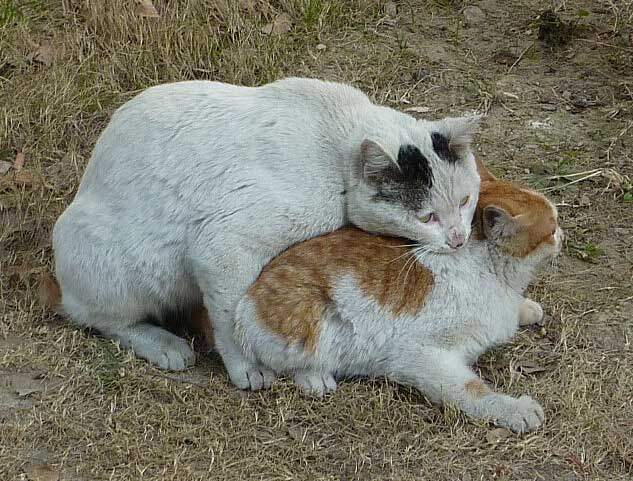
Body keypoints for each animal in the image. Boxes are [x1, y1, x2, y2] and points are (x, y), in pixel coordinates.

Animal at [53, 77, 478, 388]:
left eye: (465, 201)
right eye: (426, 218)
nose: (458, 238)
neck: (337, 147)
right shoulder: (221, 248)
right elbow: (231, 319)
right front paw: (248, 367)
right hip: (123, 268)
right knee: (98, 318)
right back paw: (163, 344)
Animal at [235, 161, 560, 432]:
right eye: (552, 228)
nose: (563, 234)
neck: (486, 269)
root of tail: (249, 294)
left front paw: (526, 308)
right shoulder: (417, 354)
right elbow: (471, 391)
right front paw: (515, 410)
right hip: (314, 320)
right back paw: (315, 378)